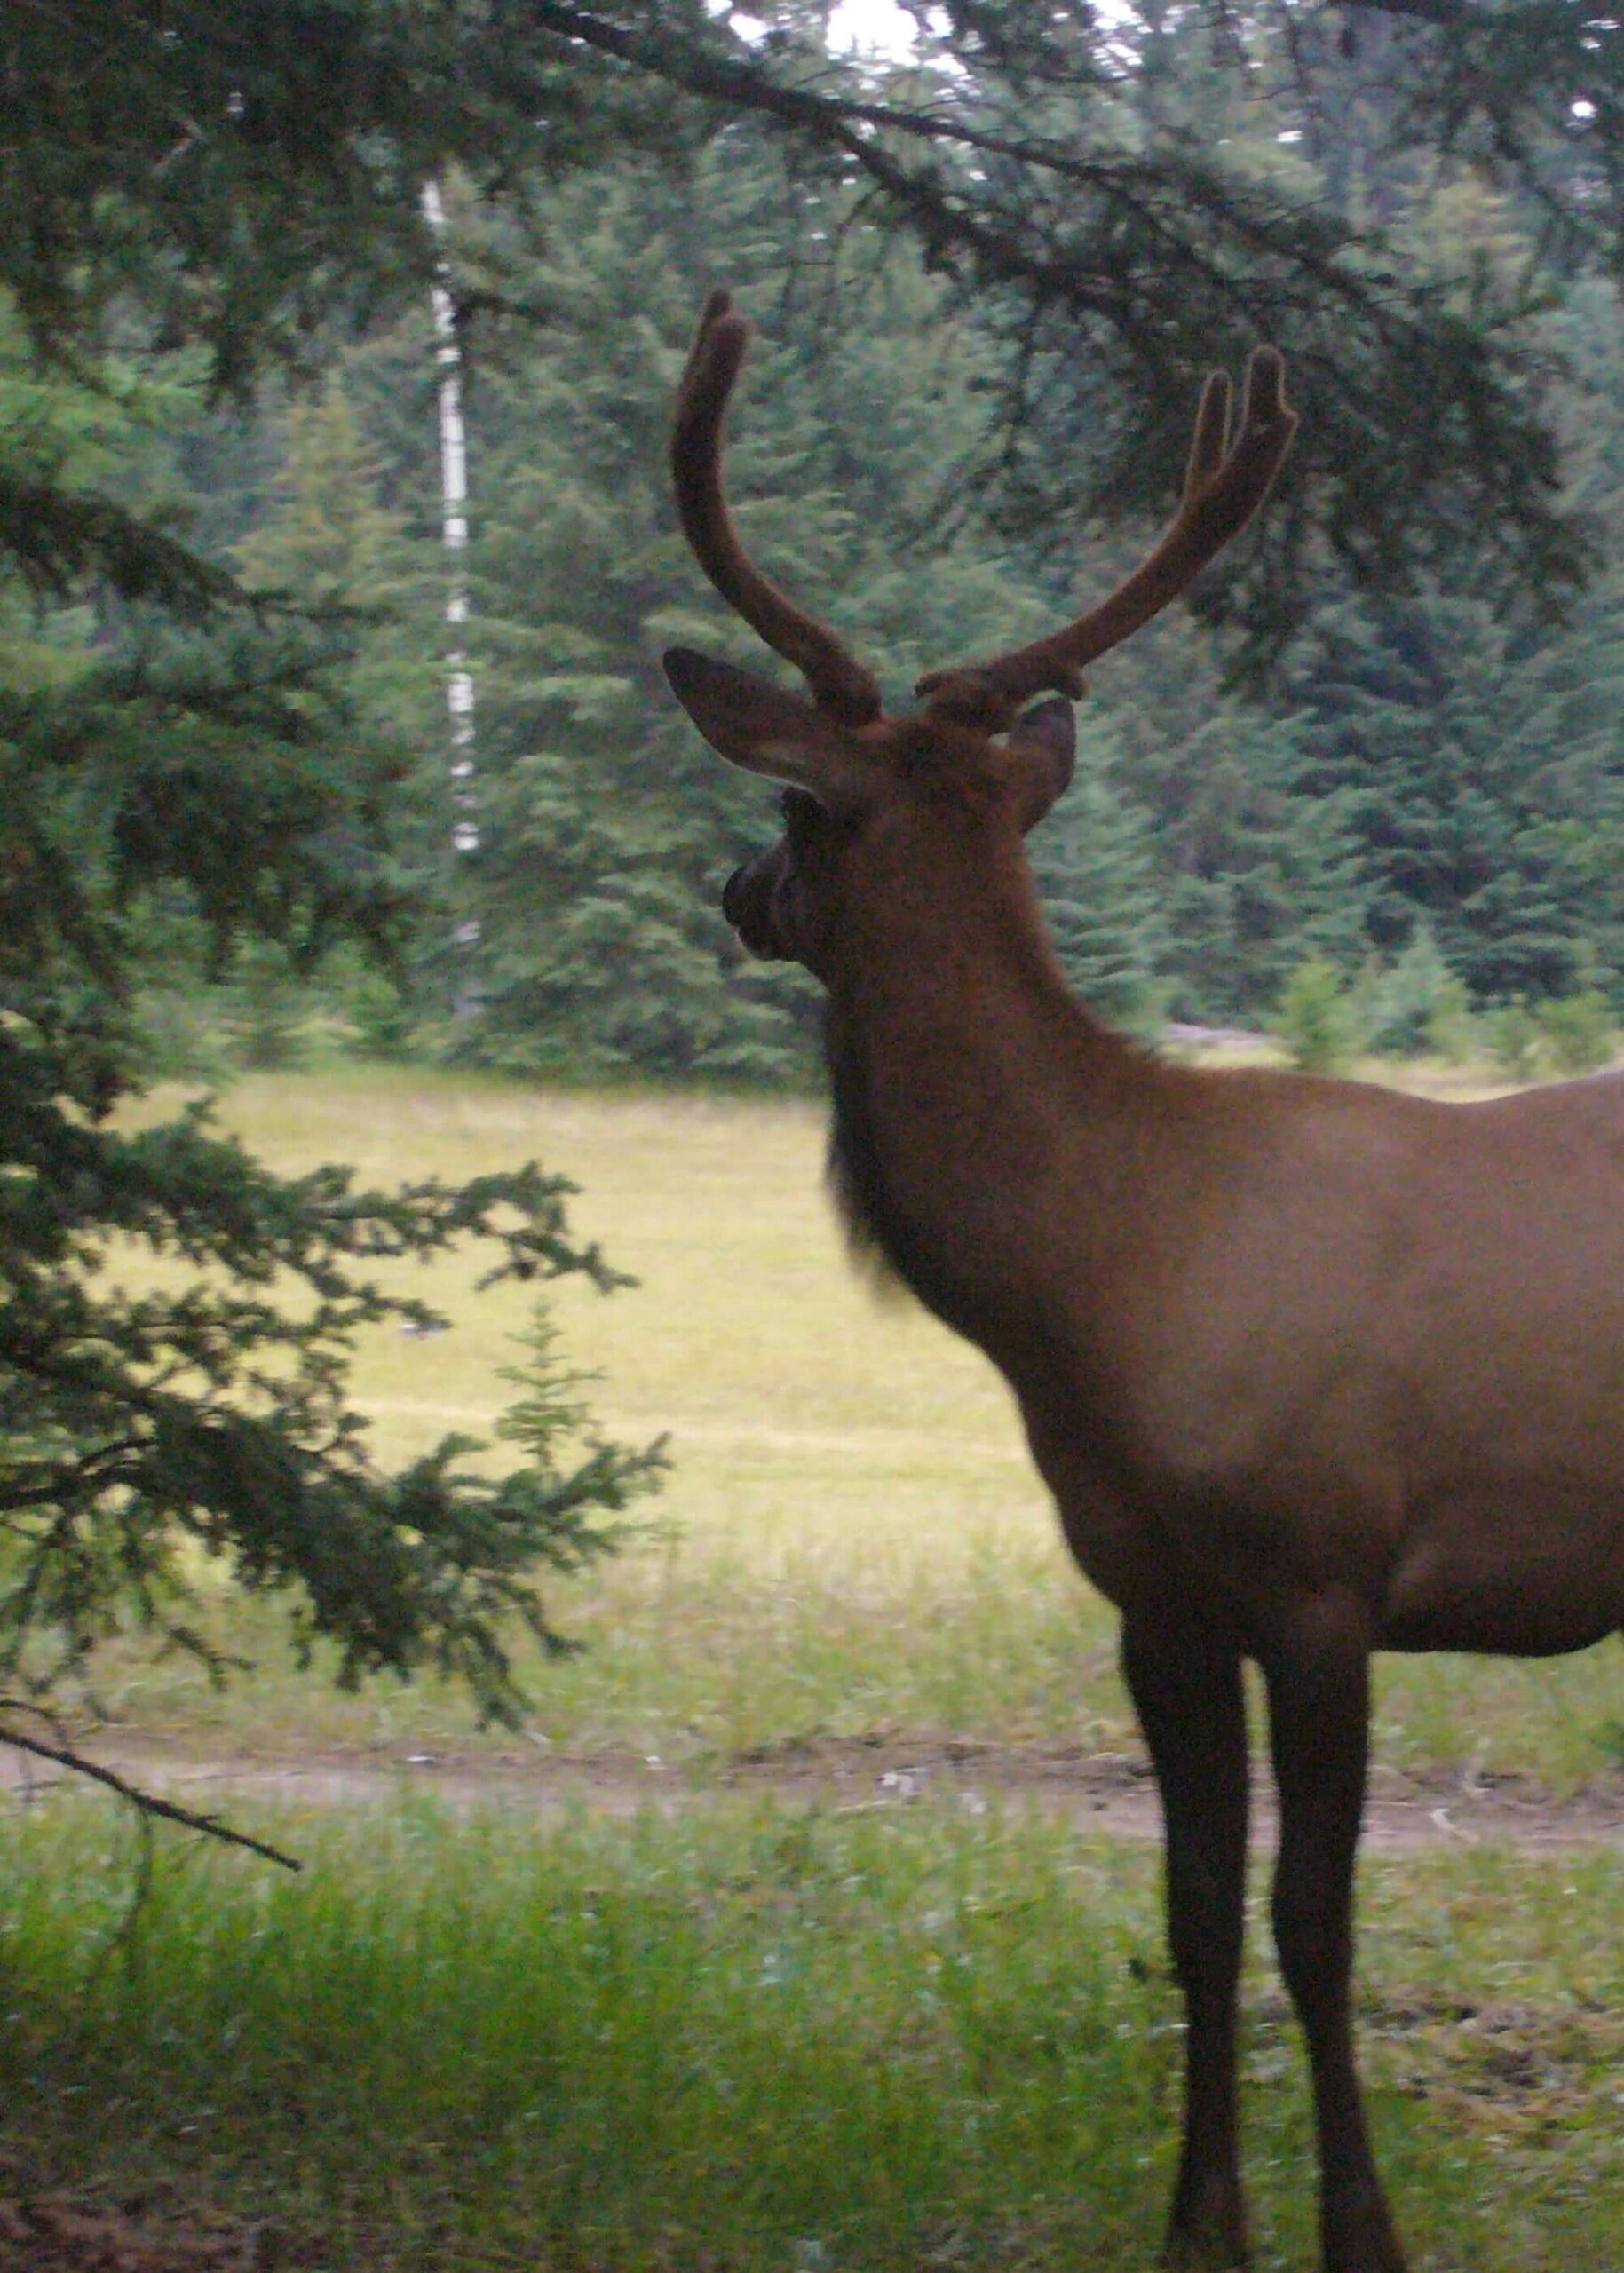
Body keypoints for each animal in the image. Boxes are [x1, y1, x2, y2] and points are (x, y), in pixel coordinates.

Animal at [659, 289, 1624, 2273]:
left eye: (795, 803)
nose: (730, 889)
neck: (1091, 1279)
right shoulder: (1146, 1594)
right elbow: (1186, 1915)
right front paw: (1197, 2231)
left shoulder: (1326, 1570)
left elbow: (1309, 1924)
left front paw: (1359, 2233)